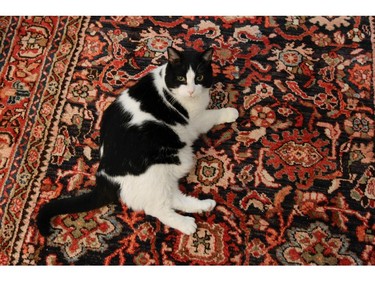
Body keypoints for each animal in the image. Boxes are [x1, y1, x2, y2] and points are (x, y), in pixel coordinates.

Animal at [36, 47, 239, 235]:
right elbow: (212, 114)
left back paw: (204, 205)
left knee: (173, 197)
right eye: (181, 78)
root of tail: (104, 177)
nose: (190, 91)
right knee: (158, 208)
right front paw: (231, 112)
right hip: (160, 169)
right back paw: (187, 224)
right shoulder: (195, 120)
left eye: (199, 77)